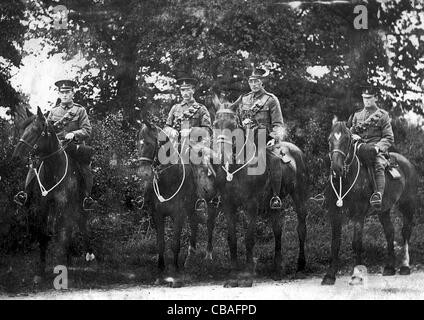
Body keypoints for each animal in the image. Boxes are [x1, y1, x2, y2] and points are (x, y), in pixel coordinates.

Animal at [12, 107, 93, 278]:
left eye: (36, 130)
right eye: (23, 129)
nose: (16, 156)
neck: (54, 169)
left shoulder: (65, 206)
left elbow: (63, 234)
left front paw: (62, 267)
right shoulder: (44, 206)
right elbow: (44, 234)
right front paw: (41, 270)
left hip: (79, 206)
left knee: (81, 226)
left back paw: (87, 257)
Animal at [212, 96, 308, 276]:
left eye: (232, 125)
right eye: (215, 124)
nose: (222, 153)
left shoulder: (252, 205)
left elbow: (249, 237)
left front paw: (249, 268)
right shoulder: (228, 204)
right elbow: (231, 237)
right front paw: (233, 267)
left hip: (299, 194)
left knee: (301, 227)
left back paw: (301, 263)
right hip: (274, 203)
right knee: (277, 229)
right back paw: (278, 265)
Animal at [322, 120, 420, 284]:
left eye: (347, 140)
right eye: (330, 140)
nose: (336, 169)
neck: (346, 180)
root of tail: (408, 163)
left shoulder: (359, 215)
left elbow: (356, 243)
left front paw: (356, 274)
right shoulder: (334, 214)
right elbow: (335, 244)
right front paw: (329, 275)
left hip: (408, 205)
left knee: (406, 231)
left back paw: (405, 266)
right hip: (383, 210)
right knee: (390, 232)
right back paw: (389, 267)